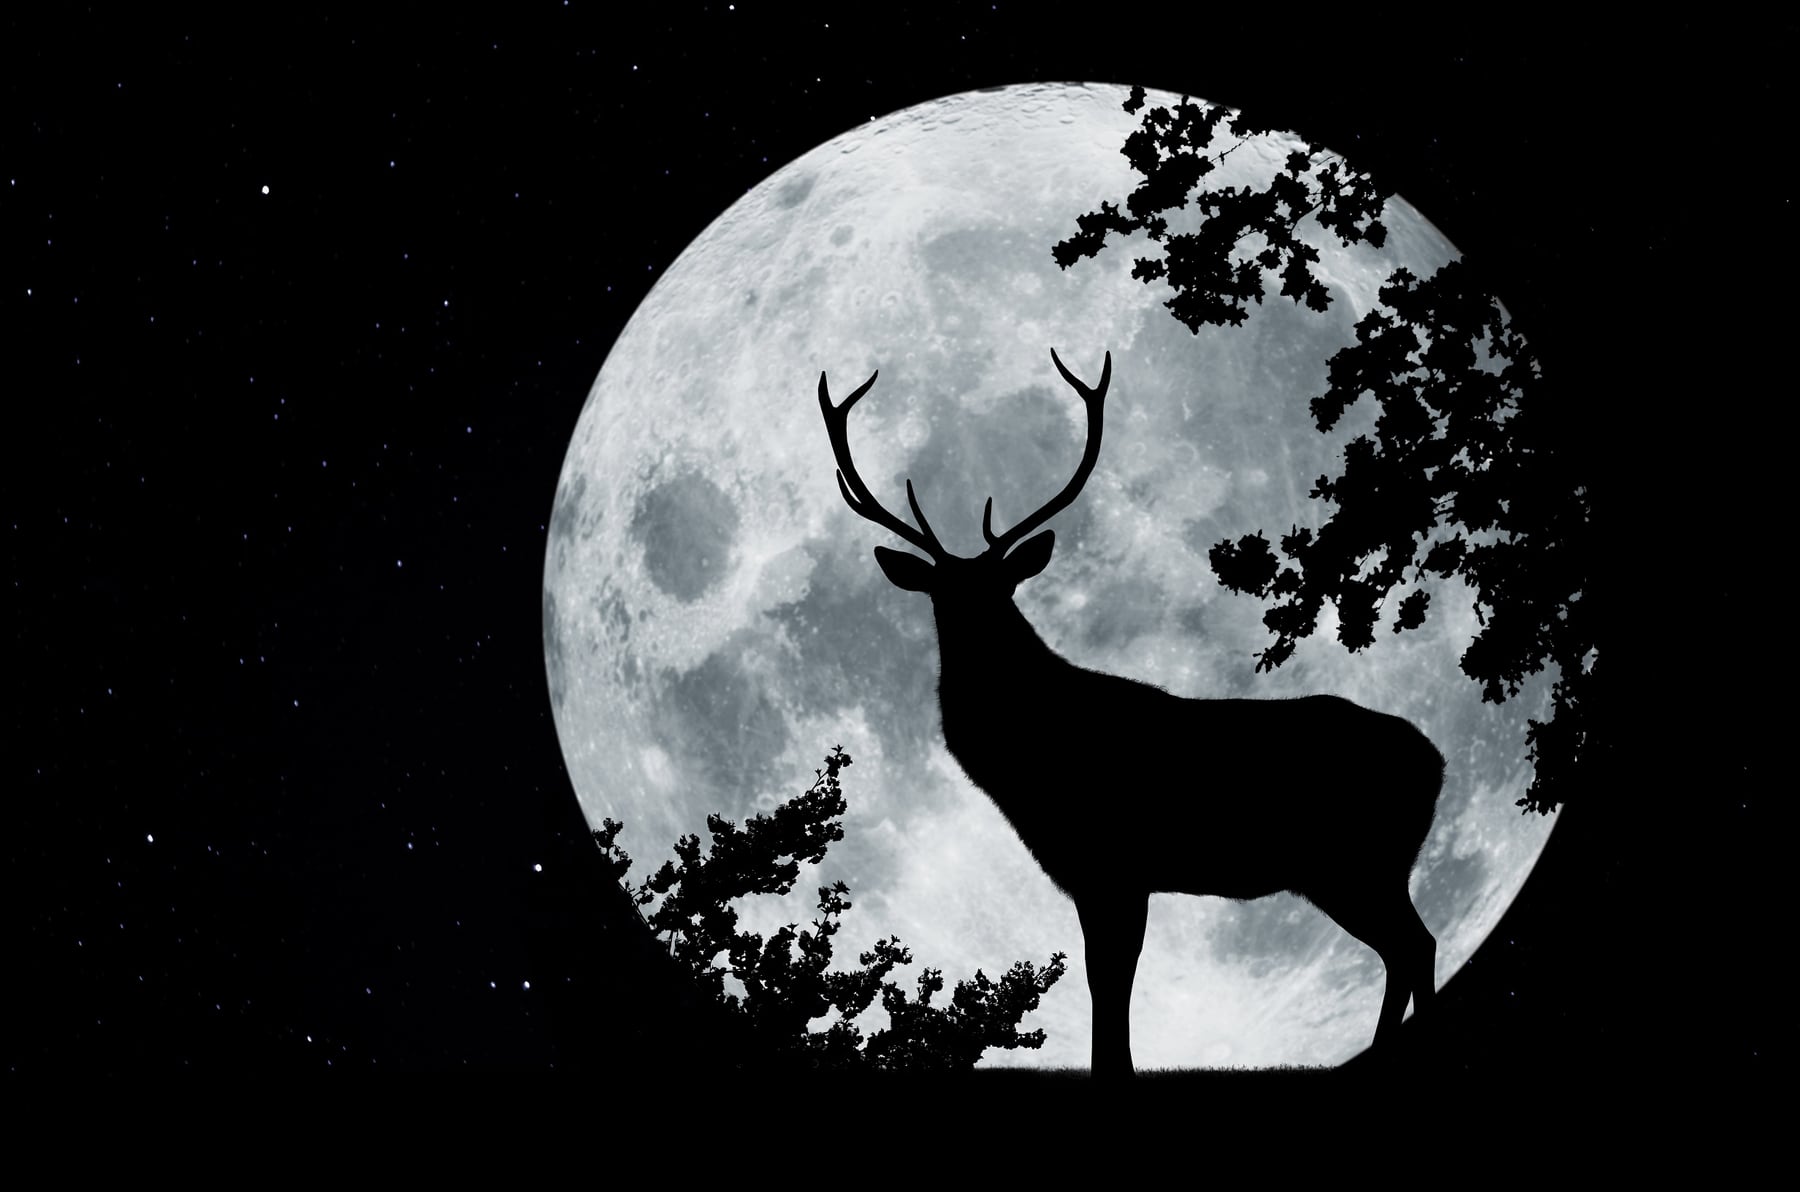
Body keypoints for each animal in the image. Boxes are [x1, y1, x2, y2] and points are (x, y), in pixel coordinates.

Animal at [818, 349, 1445, 1077]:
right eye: (941, 594)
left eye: (1002, 586)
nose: (975, 631)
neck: (1029, 759)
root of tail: (1437, 762)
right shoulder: (1097, 872)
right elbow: (1107, 979)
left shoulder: (1114, 861)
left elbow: (1110, 981)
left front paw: (1114, 1067)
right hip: (1358, 868)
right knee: (1409, 946)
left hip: (1355, 859)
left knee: (1415, 945)